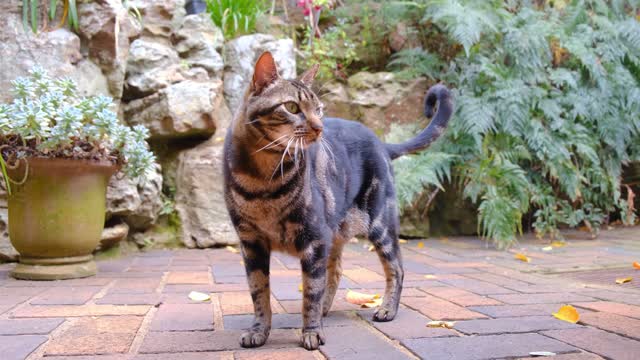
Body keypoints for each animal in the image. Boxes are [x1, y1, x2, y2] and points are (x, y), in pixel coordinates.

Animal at [222, 52, 452, 350]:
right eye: (292, 107)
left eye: (318, 109)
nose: (319, 127)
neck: (263, 180)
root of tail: (381, 142)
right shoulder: (251, 242)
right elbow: (259, 292)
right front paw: (258, 330)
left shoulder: (314, 239)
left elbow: (310, 290)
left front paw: (311, 332)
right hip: (335, 233)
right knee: (336, 271)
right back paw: (326, 309)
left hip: (380, 222)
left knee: (396, 268)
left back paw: (387, 309)